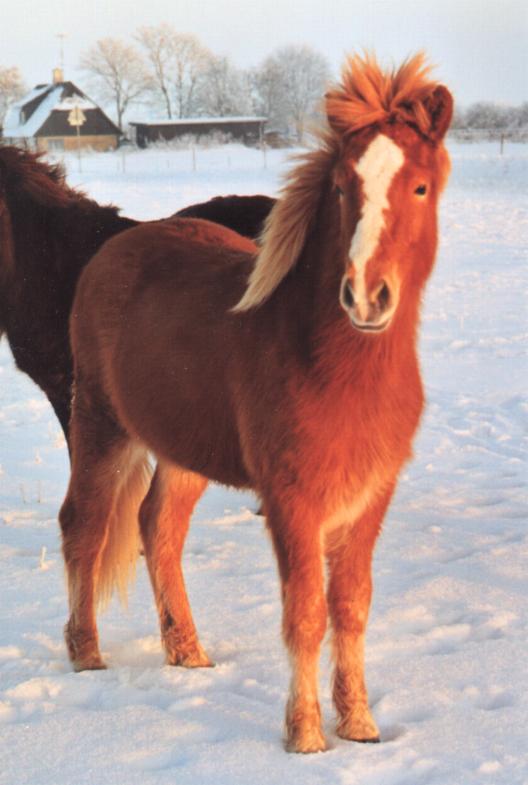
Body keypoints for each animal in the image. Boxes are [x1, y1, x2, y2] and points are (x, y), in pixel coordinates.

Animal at [58, 52, 454, 752]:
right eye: (343, 188)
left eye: (420, 188)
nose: (366, 296)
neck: (331, 365)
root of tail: (113, 250)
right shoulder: (292, 499)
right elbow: (305, 613)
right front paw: (305, 736)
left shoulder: (370, 496)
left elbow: (351, 606)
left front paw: (360, 724)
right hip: (100, 425)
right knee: (84, 526)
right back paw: (87, 656)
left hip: (180, 451)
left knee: (158, 529)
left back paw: (188, 653)